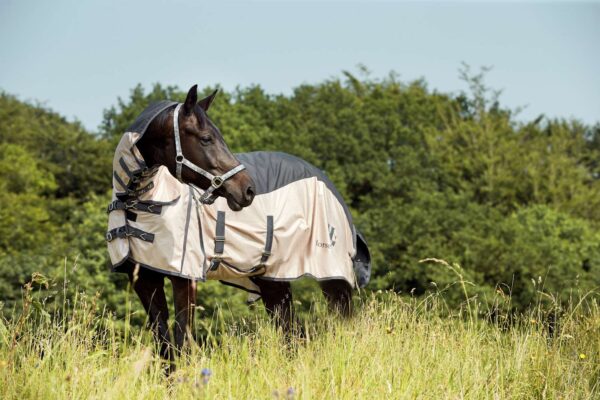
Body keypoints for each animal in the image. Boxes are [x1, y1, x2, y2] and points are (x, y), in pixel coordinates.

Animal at [108, 85, 370, 368]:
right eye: (206, 138)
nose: (247, 190)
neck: (142, 203)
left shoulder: (185, 278)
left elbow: (182, 342)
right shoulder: (145, 280)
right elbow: (165, 345)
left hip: (333, 277)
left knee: (341, 326)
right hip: (274, 280)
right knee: (291, 333)